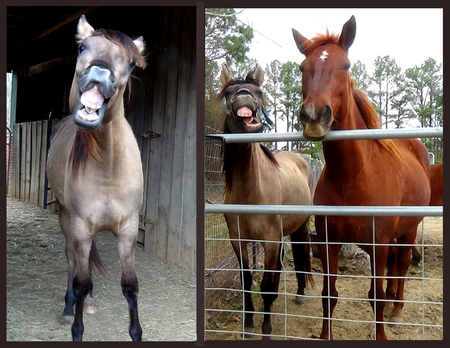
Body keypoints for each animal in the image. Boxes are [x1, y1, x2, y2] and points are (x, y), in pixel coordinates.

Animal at [46, 15, 145, 340]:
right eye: (82, 47)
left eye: (130, 62)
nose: (99, 74)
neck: (109, 168)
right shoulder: (80, 226)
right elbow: (80, 282)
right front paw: (75, 327)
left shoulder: (128, 230)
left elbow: (130, 287)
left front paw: (136, 333)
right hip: (66, 219)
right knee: (72, 260)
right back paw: (69, 307)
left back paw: (88, 302)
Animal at [218, 64, 312, 338]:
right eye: (228, 94)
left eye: (258, 91)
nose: (244, 98)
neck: (250, 191)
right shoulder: (239, 240)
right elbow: (247, 280)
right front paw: (248, 324)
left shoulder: (269, 240)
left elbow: (267, 284)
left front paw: (266, 328)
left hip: (300, 227)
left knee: (300, 257)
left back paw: (300, 294)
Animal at [294, 17, 430, 340]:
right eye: (303, 67)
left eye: (346, 65)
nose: (314, 117)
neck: (351, 178)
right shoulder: (328, 243)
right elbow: (329, 295)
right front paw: (325, 336)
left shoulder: (378, 244)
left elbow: (375, 296)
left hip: (408, 230)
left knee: (401, 265)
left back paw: (397, 310)